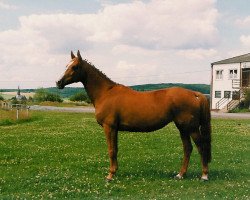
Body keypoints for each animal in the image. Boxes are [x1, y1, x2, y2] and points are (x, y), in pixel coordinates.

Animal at [56, 50, 211, 181]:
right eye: (66, 65)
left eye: (75, 67)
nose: (58, 82)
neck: (106, 93)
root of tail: (195, 94)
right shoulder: (114, 129)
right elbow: (115, 149)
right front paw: (114, 171)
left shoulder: (109, 127)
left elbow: (111, 150)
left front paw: (110, 175)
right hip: (182, 128)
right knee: (188, 149)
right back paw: (180, 174)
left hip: (191, 128)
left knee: (201, 147)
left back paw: (204, 175)